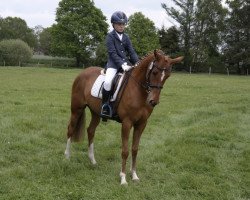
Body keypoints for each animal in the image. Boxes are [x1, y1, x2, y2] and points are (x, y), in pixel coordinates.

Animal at [64, 49, 182, 184]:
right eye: (155, 72)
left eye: (167, 76)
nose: (153, 101)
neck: (138, 90)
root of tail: (83, 72)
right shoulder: (127, 123)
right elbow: (125, 151)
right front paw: (123, 178)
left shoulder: (141, 124)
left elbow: (135, 149)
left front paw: (134, 175)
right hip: (76, 109)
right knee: (71, 129)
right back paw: (67, 157)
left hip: (96, 113)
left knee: (91, 131)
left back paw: (92, 160)